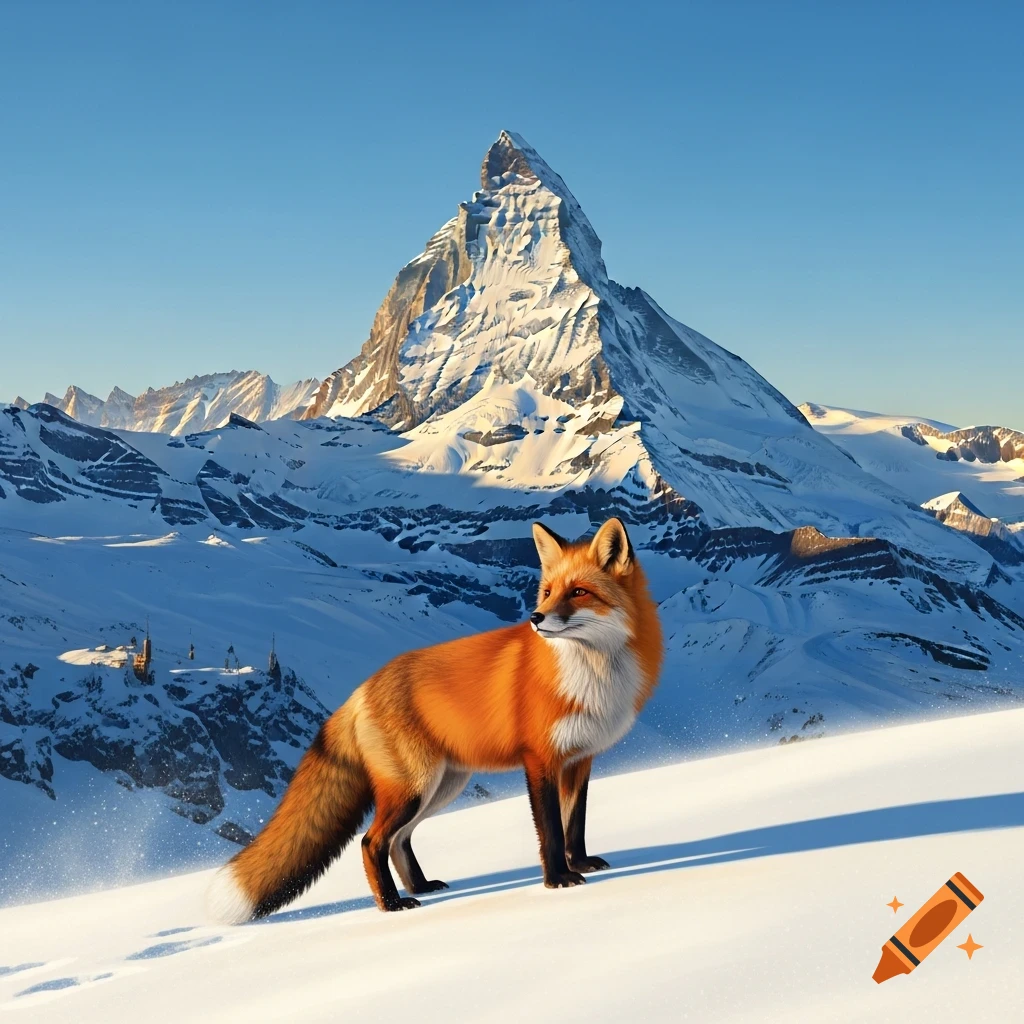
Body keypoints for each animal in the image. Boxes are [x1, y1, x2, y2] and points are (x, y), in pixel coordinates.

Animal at [207, 516, 662, 922]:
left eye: (579, 592)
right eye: (547, 593)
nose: (535, 619)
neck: (592, 674)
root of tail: (360, 690)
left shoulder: (580, 760)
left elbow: (575, 824)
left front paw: (580, 864)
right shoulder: (540, 760)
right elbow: (550, 829)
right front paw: (557, 881)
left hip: (441, 787)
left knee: (398, 841)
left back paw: (422, 887)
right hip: (415, 787)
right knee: (371, 842)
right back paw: (392, 905)